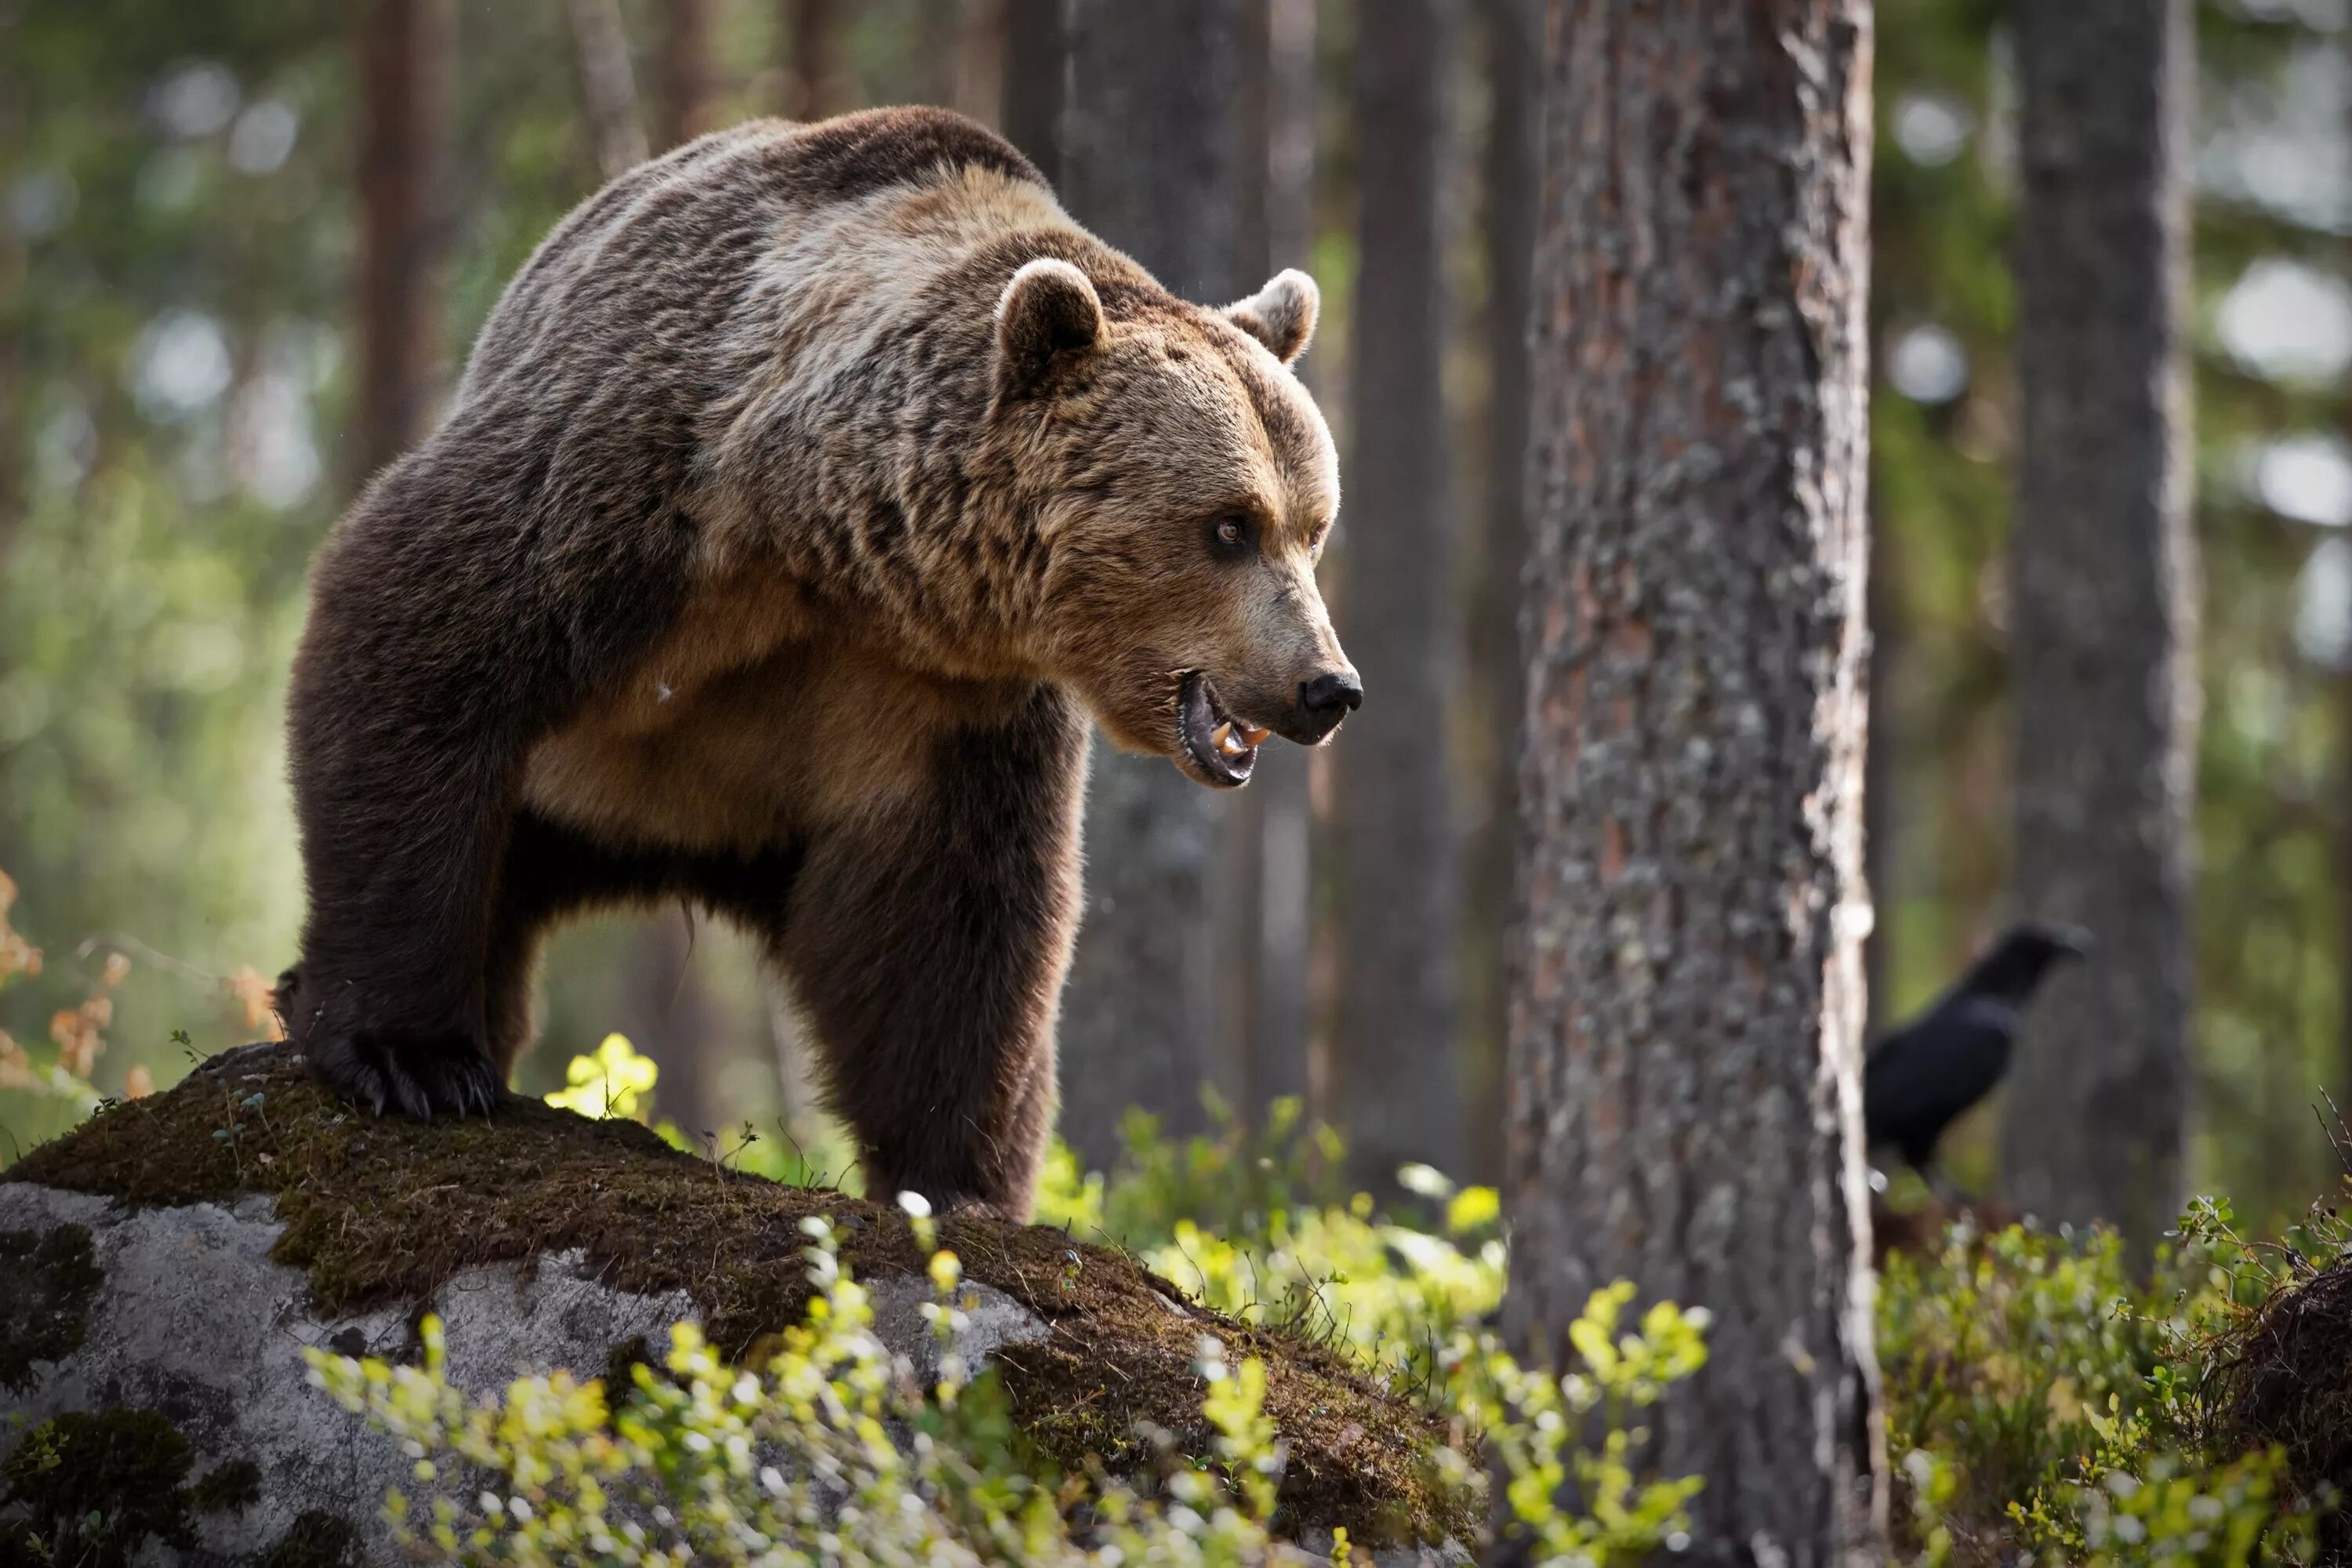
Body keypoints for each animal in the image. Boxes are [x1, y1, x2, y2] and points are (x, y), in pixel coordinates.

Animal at [275, 110, 1364, 1222]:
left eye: (1314, 526)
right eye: (1229, 525)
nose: (1327, 687)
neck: (825, 544)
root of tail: (662, 846)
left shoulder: (937, 695)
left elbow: (953, 908)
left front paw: (956, 1181)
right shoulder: (637, 486)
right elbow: (420, 631)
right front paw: (410, 1055)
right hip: (559, 795)